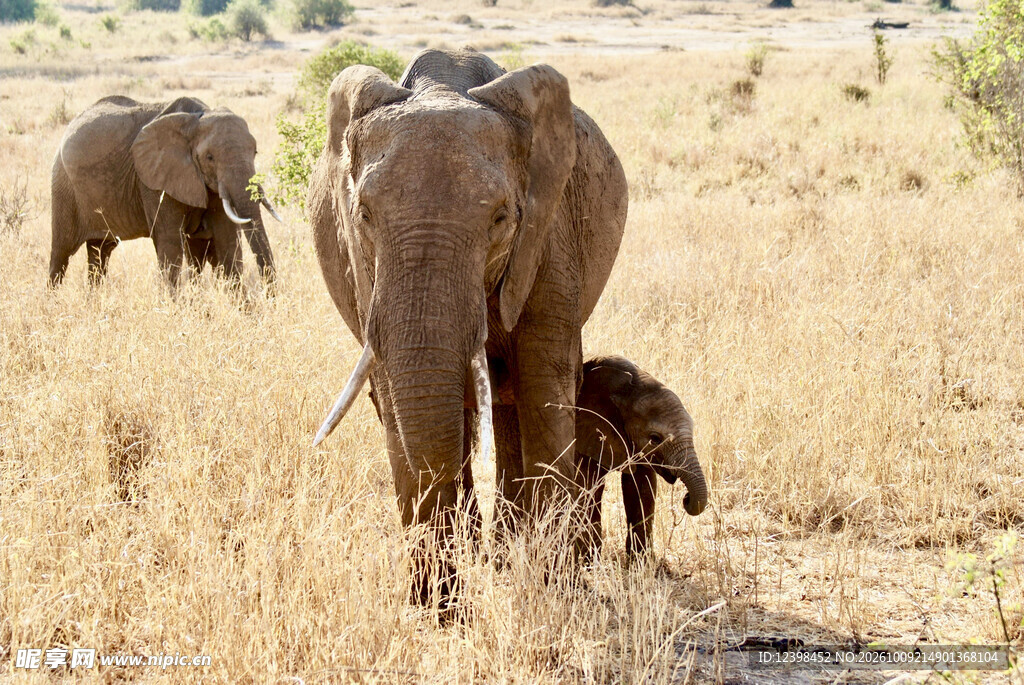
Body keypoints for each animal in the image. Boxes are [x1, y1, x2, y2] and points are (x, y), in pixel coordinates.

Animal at [49, 95, 279, 287]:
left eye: (255, 152)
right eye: (210, 157)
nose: (271, 296)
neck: (197, 118)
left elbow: (228, 241)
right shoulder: (153, 180)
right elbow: (169, 243)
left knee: (100, 251)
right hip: (63, 187)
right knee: (62, 253)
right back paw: (53, 300)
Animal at [308, 48, 627, 610]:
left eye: (500, 218)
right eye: (363, 215)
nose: (448, 602)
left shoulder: (548, 235)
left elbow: (544, 387)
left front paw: (553, 589)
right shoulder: (366, 272)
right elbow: (395, 397)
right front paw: (437, 611)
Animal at [574, 356, 709, 561]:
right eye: (655, 438)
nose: (686, 498)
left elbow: (642, 487)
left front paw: (641, 562)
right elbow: (587, 489)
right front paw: (588, 559)